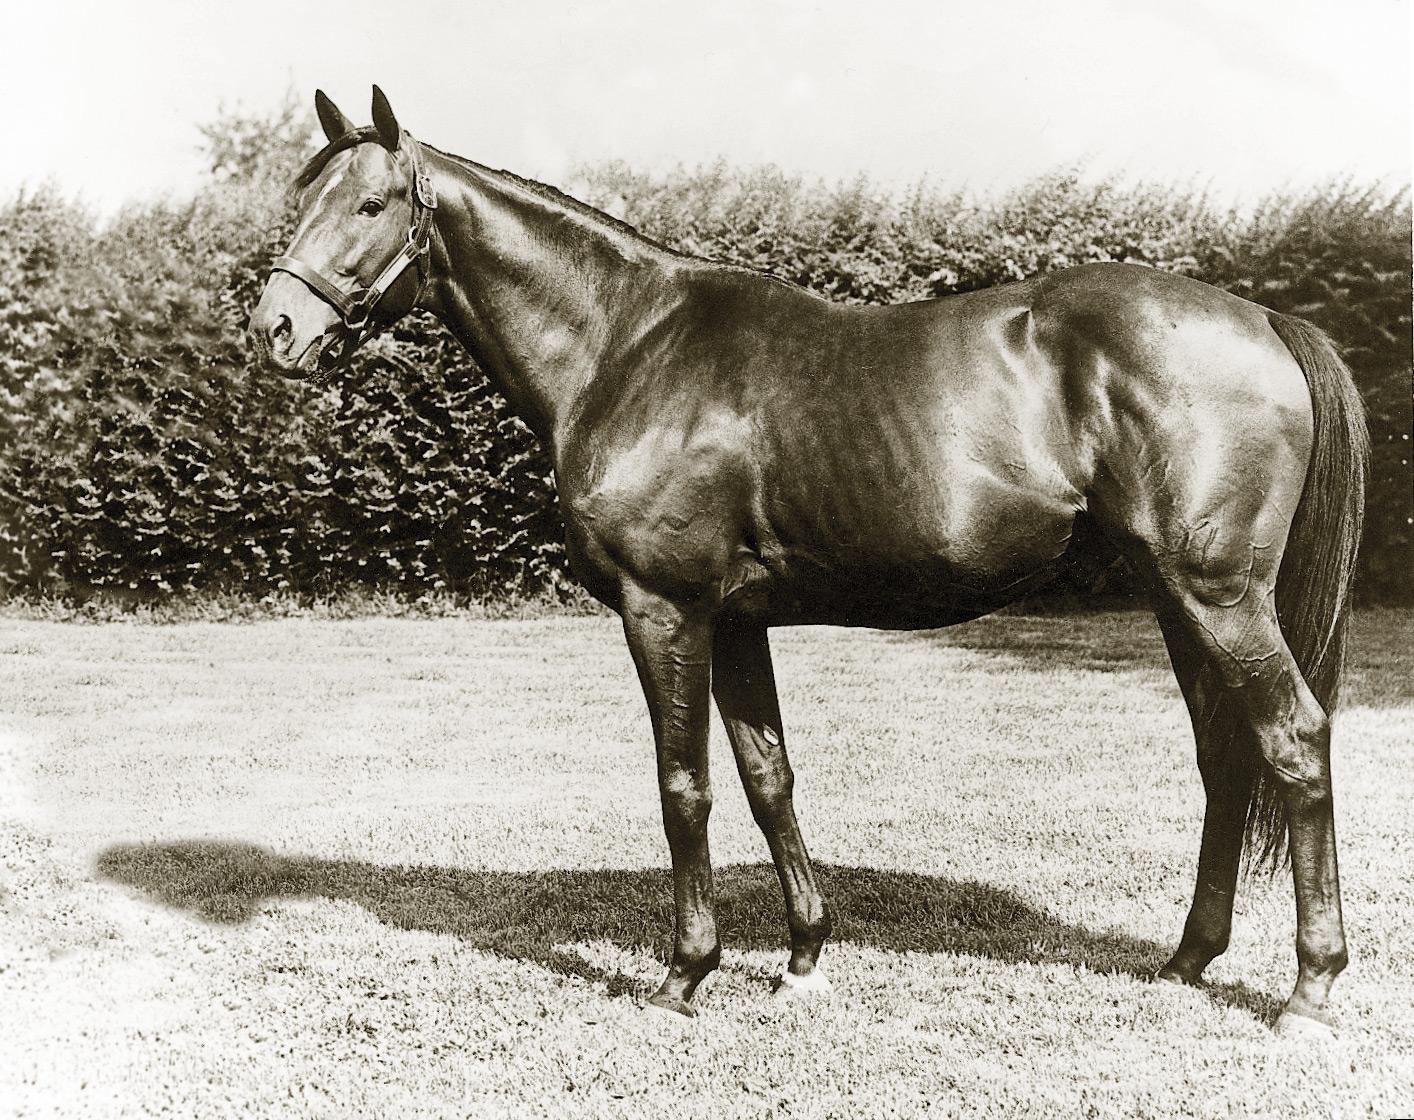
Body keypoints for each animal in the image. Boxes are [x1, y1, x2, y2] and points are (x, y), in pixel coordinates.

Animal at [249, 87, 1367, 1038]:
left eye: (372, 202)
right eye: (305, 198)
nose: (275, 329)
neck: (625, 345)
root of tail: (1266, 319)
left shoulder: (665, 608)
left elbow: (684, 785)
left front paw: (684, 973)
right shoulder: (739, 617)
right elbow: (766, 778)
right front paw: (802, 958)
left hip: (1219, 596)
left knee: (1297, 743)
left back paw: (1309, 990)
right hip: (1180, 600)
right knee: (1227, 757)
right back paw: (1187, 960)